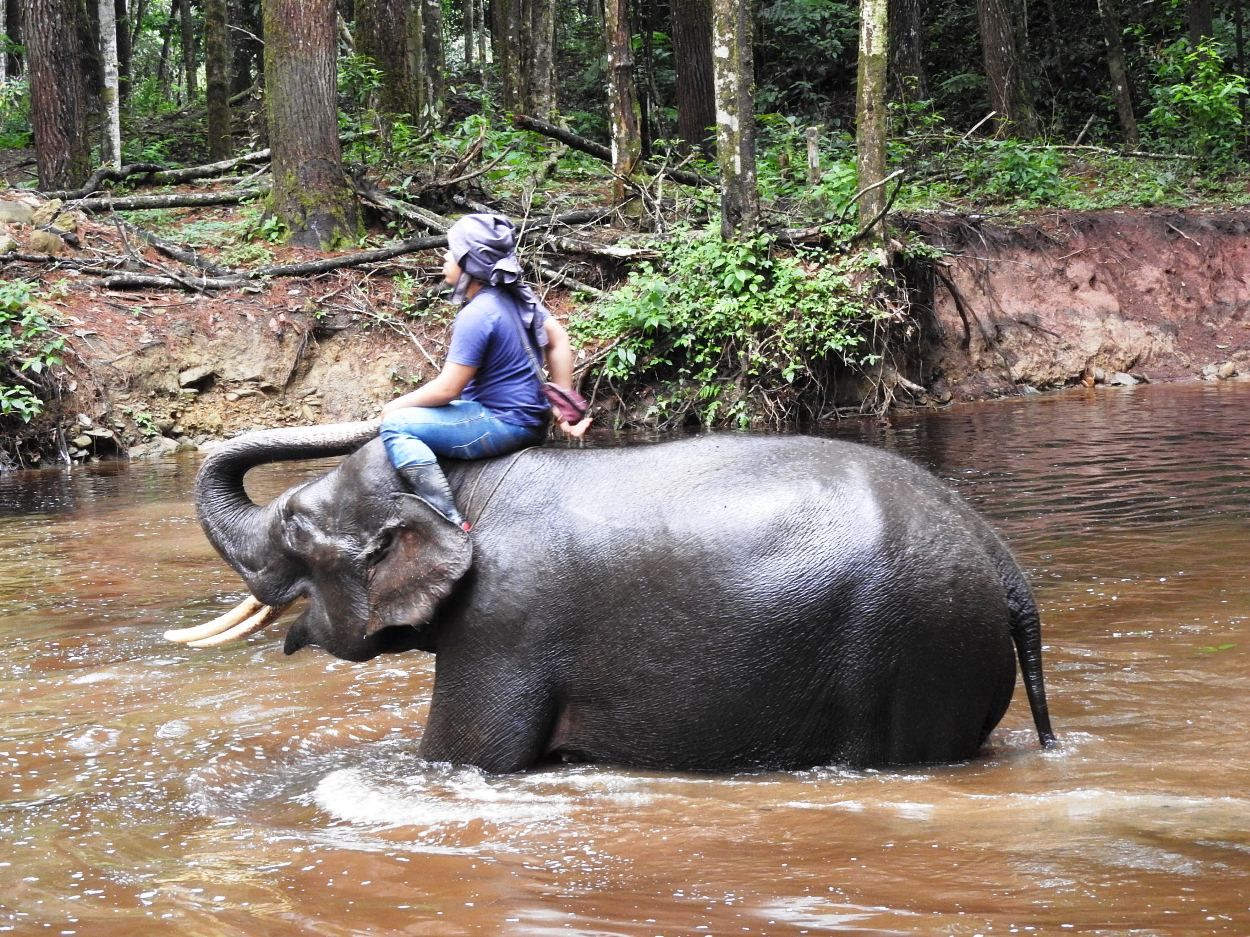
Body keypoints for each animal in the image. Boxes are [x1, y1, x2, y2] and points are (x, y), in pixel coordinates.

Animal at [176, 422, 1055, 774]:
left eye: (295, 523)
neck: (462, 485)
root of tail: (1001, 559)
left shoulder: (504, 627)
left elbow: (463, 757)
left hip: (916, 646)